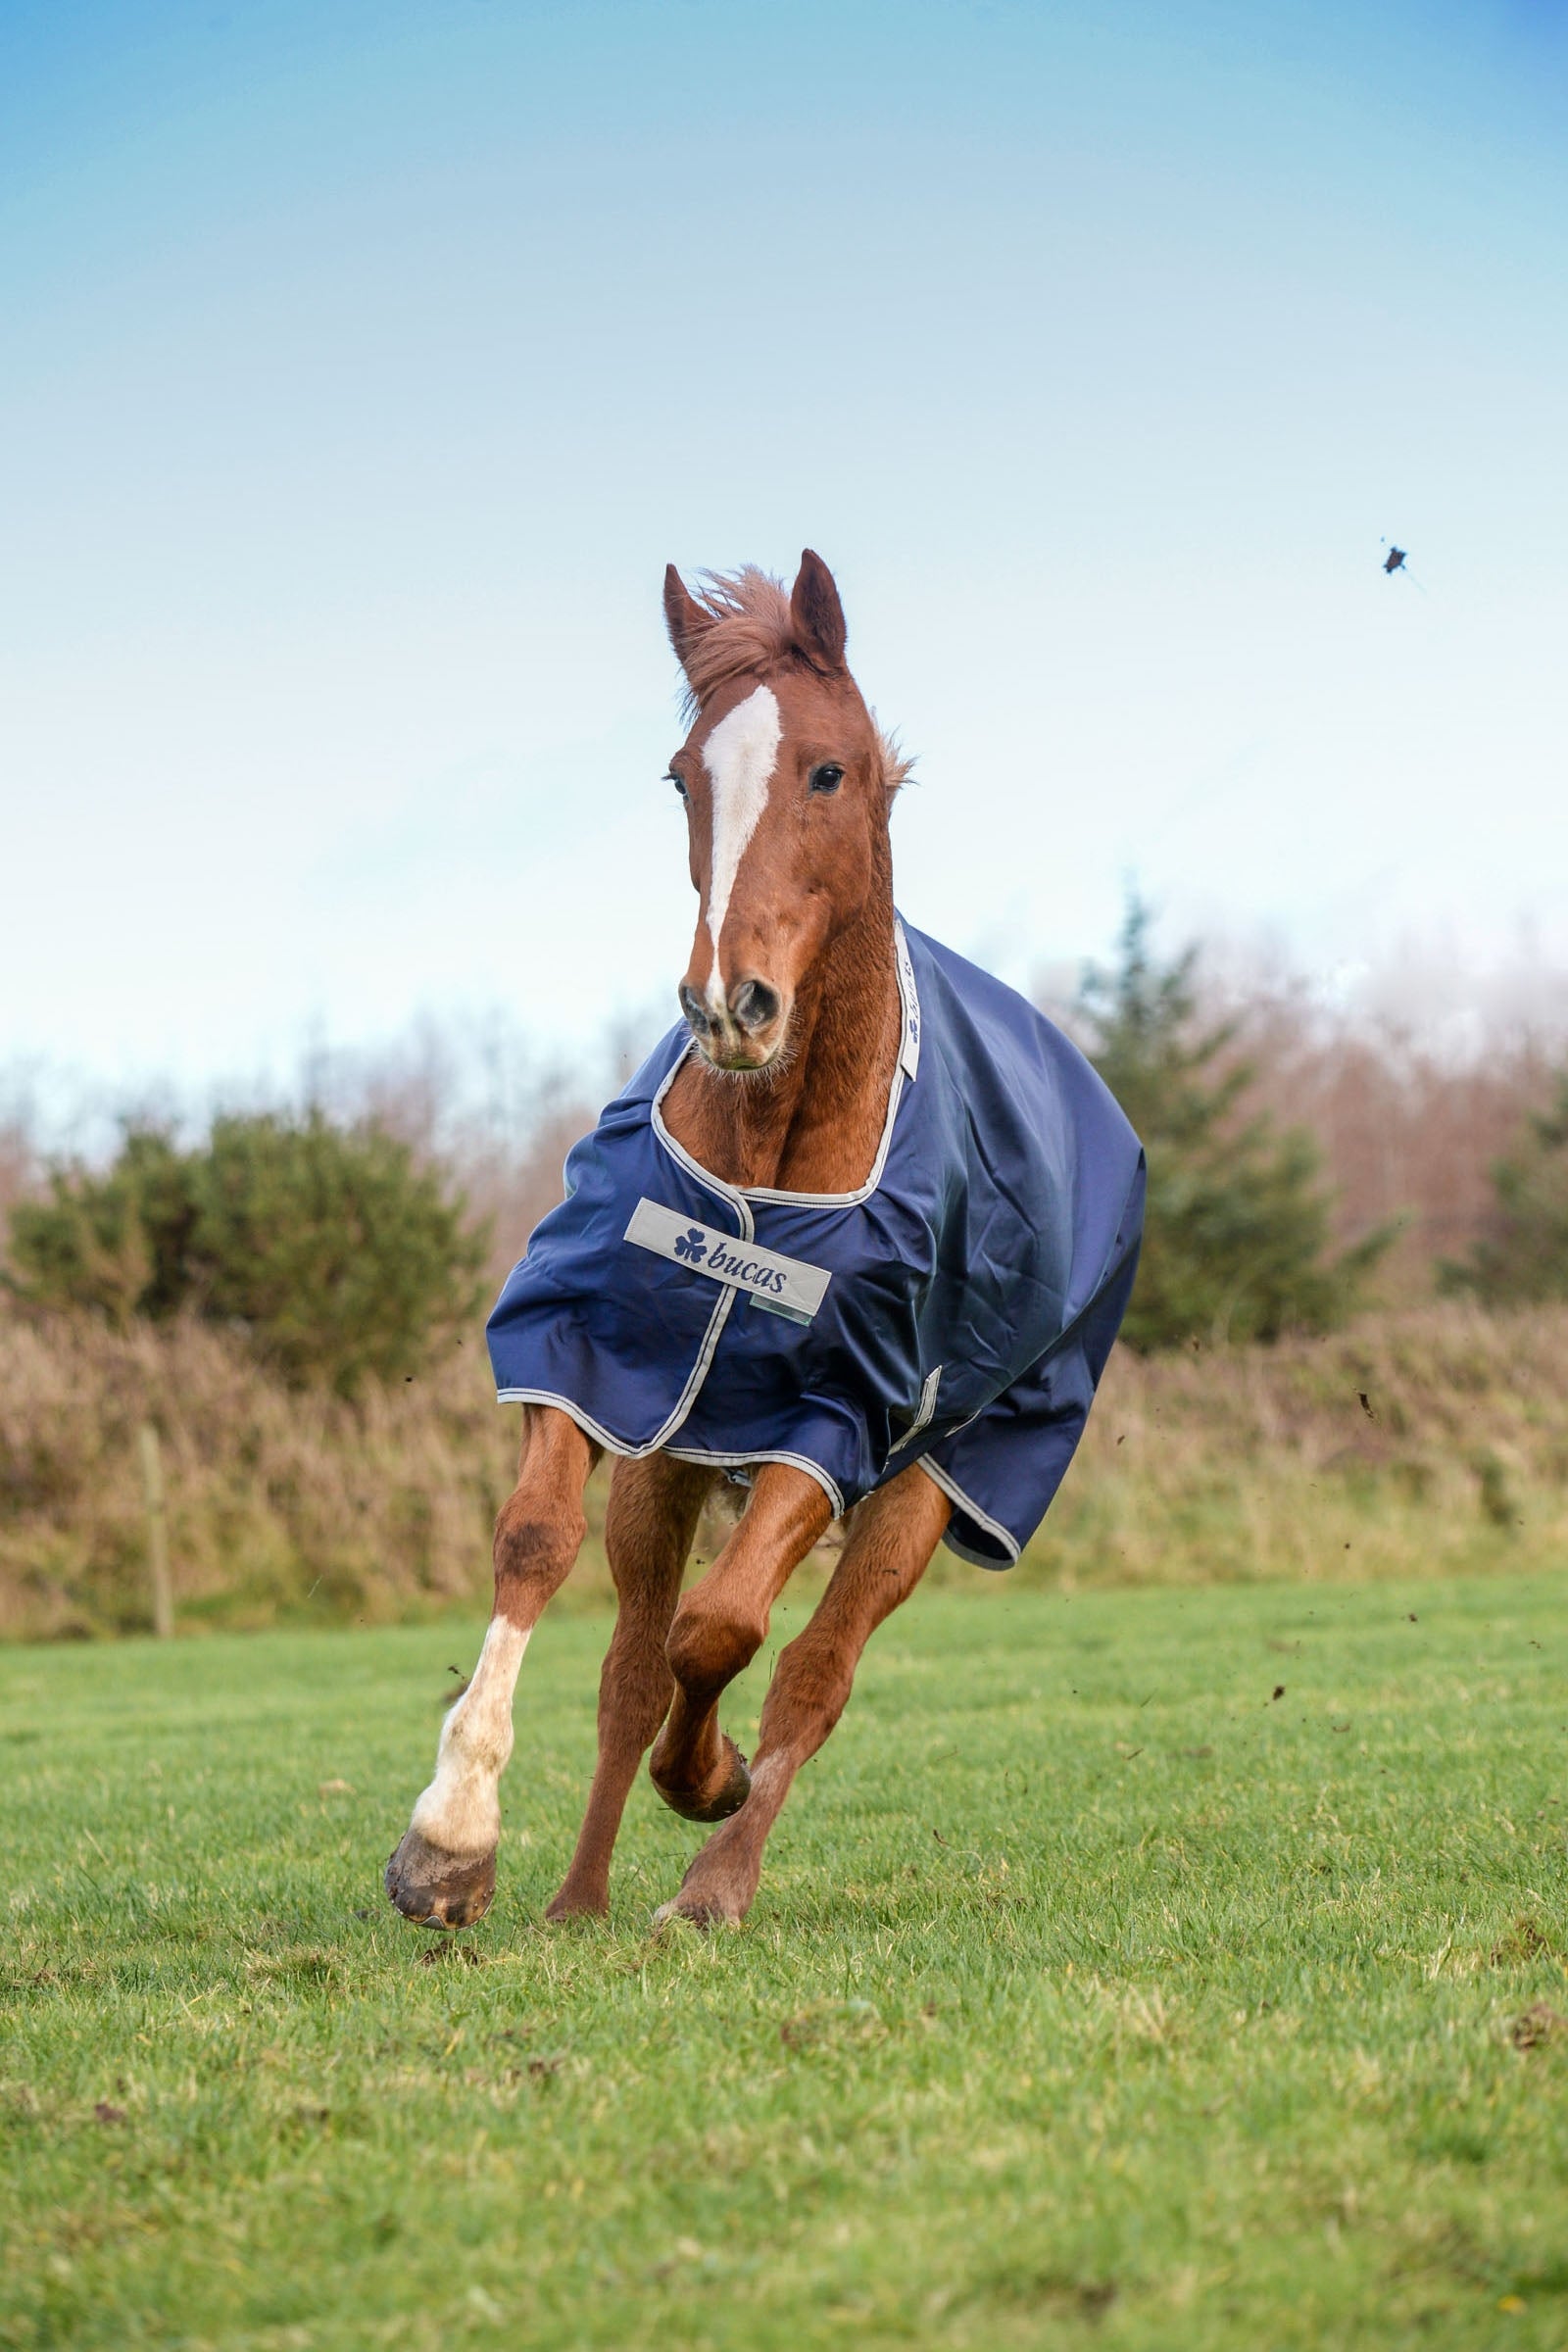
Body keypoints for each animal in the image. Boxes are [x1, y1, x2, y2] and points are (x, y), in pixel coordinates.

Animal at [385, 551, 1143, 1932]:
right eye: (682, 776)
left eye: (828, 771)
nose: (729, 1004)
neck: (773, 1160)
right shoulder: (605, 1364)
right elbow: (545, 1552)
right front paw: (450, 1839)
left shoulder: (835, 1418)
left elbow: (725, 1633)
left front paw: (711, 1777)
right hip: (675, 1459)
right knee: (633, 1669)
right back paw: (580, 1902)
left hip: (937, 1480)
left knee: (812, 1673)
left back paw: (713, 1880)